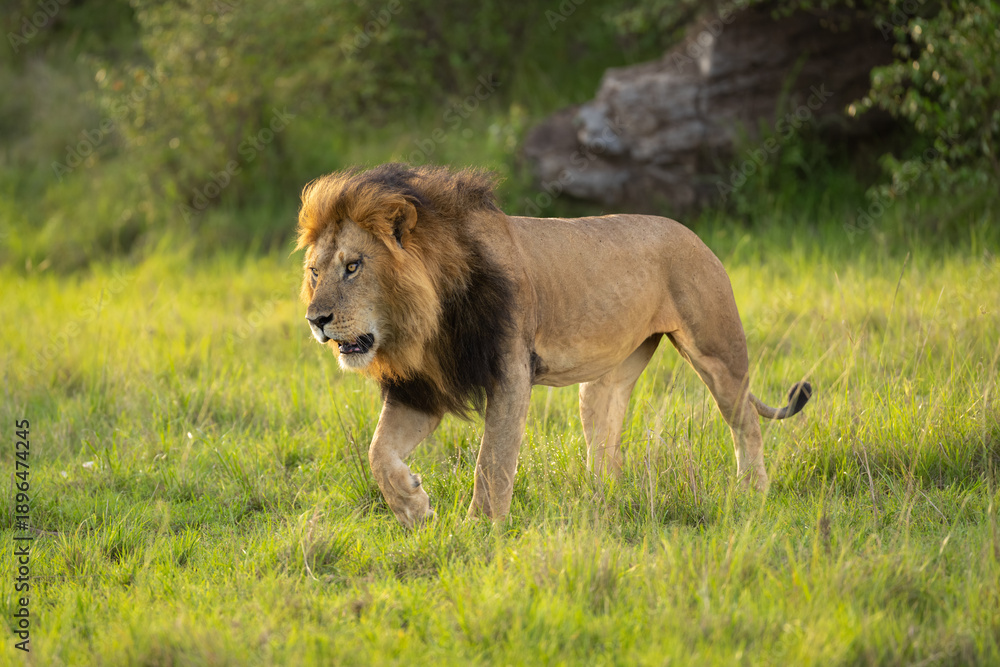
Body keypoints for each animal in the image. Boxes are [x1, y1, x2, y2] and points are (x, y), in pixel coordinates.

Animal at [296, 163, 812, 527]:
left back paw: (752, 492)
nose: (315, 320)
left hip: (718, 350)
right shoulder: (421, 388)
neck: (424, 320)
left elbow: (492, 462)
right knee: (606, 443)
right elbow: (378, 453)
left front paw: (478, 530)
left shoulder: (510, 371)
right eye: (315, 272)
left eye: (354, 266)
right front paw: (414, 508)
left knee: (745, 423)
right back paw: (599, 502)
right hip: (606, 379)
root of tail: (694, 234)